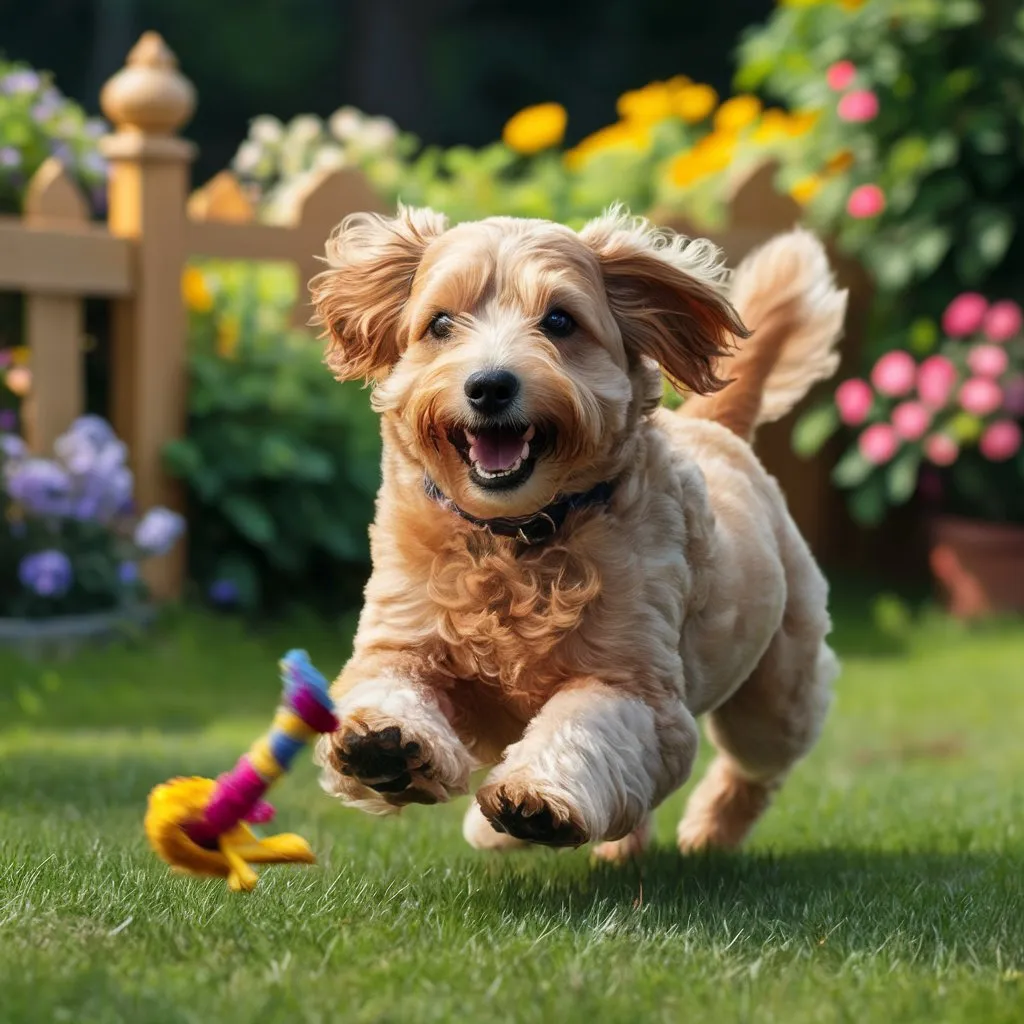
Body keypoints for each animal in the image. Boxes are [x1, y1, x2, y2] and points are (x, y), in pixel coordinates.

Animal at [309, 205, 847, 856]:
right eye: (440, 323)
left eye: (560, 320)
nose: (489, 385)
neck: (516, 538)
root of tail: (715, 428)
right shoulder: (401, 637)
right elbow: (384, 680)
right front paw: (380, 745)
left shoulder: (637, 689)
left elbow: (586, 725)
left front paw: (538, 797)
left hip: (776, 694)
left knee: (758, 764)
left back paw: (710, 829)